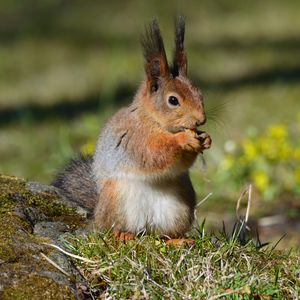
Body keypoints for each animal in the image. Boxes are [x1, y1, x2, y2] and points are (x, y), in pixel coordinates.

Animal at [52, 16, 211, 245]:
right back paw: (123, 234)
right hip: (116, 201)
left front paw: (205, 139)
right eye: (173, 100)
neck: (154, 121)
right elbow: (153, 154)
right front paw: (183, 139)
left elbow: (181, 164)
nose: (201, 120)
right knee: (113, 227)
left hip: (181, 205)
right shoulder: (134, 137)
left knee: (164, 234)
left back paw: (177, 240)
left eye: (199, 93)